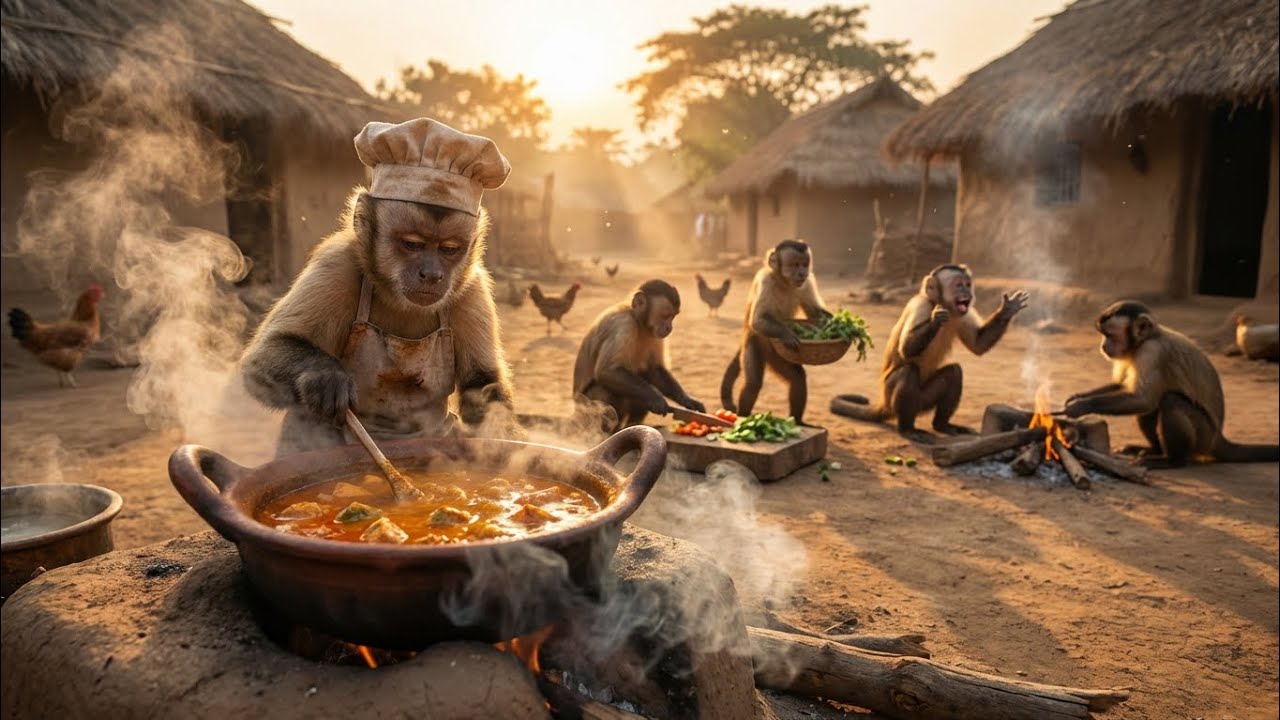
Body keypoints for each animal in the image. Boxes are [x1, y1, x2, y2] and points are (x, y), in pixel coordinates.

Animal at [573, 279, 705, 432]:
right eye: (666, 316)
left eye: (673, 317)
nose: (669, 328)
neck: (637, 320)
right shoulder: (623, 324)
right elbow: (607, 371)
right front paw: (657, 399)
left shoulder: (654, 333)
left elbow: (654, 370)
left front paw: (687, 400)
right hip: (585, 411)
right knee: (607, 390)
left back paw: (632, 426)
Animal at [719, 239, 830, 425]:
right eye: (794, 265)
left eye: (804, 264)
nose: (801, 273)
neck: (784, 282)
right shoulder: (766, 281)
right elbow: (757, 320)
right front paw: (787, 334)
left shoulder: (807, 282)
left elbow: (814, 313)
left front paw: (848, 327)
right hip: (753, 344)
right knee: (753, 384)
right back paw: (743, 417)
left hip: (778, 355)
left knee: (797, 377)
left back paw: (798, 421)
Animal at [830, 264, 1029, 442]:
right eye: (959, 285)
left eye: (967, 284)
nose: (968, 292)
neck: (939, 303)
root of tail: (883, 403)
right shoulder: (921, 305)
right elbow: (906, 348)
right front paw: (935, 320)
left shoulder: (962, 313)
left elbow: (978, 345)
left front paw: (1007, 310)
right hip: (891, 396)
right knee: (908, 371)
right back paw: (907, 429)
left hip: (922, 401)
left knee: (954, 372)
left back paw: (942, 425)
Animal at [1064, 300, 1279, 468]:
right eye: (1103, 335)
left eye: (1109, 335)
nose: (1103, 345)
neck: (1147, 339)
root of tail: (1218, 438)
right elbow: (1126, 388)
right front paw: (1078, 397)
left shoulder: (1152, 352)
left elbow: (1143, 399)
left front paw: (1082, 405)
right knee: (1153, 406)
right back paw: (1153, 449)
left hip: (1203, 436)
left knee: (1169, 400)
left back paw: (1172, 461)